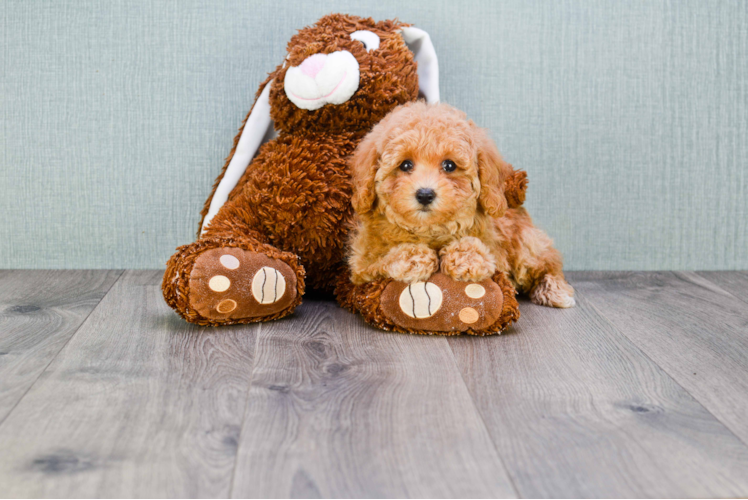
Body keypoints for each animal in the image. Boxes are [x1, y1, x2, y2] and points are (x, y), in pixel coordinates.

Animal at [348, 100, 576, 308]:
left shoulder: (497, 249)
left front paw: (466, 258)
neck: (430, 230)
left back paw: (556, 291)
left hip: (526, 244)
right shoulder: (361, 265)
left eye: (449, 165)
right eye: (405, 165)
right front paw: (415, 258)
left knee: (547, 263)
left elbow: (483, 253)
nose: (425, 194)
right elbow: (379, 260)